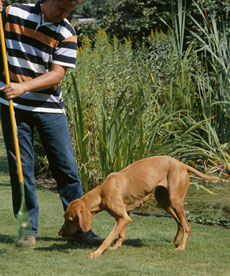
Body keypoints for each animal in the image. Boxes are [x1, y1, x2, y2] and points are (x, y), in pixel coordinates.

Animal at [58, 156, 218, 258]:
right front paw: (116, 247)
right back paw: (175, 241)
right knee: (180, 223)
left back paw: (181, 247)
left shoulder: (123, 218)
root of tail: (182, 164)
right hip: (164, 201)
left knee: (187, 226)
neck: (102, 191)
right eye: (64, 218)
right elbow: (121, 234)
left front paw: (97, 253)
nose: (60, 233)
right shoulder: (125, 215)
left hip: (176, 201)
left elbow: (108, 238)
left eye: (70, 220)